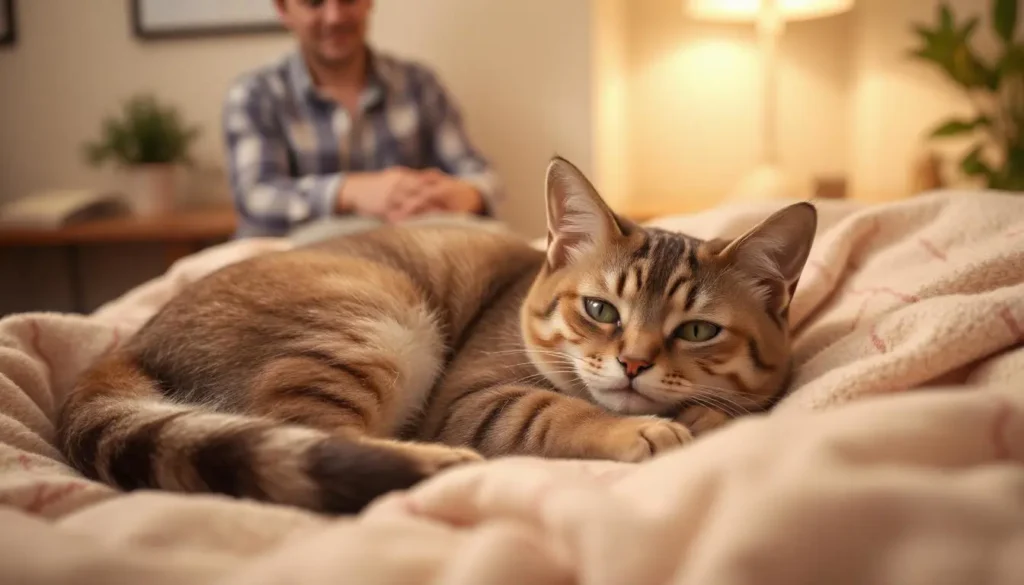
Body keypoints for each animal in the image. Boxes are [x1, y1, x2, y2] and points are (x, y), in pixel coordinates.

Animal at [58, 157, 815, 514]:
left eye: (697, 329)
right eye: (601, 310)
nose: (631, 363)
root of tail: (126, 346)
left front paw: (701, 414)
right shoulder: (471, 396)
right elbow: (553, 408)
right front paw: (643, 429)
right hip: (367, 325)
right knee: (315, 435)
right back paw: (441, 466)